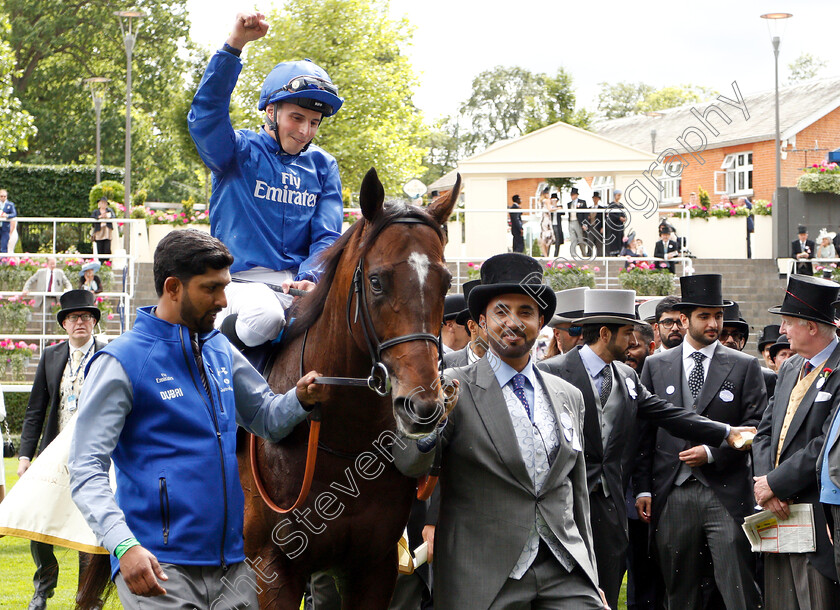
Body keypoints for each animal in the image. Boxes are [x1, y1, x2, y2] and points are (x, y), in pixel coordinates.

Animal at [243, 167, 460, 608]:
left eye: (446, 282)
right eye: (376, 281)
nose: (422, 406)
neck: (341, 440)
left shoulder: (374, 565)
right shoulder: (272, 567)